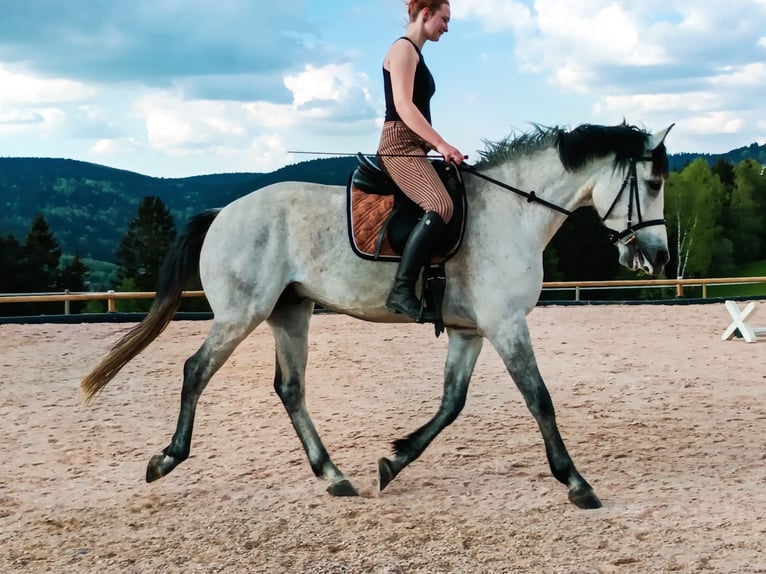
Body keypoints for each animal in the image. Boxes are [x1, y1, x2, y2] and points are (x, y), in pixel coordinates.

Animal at [81, 122, 676, 512]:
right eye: (651, 184)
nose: (660, 257)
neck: (513, 212)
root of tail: (223, 211)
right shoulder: (506, 326)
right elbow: (540, 400)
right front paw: (576, 483)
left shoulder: (470, 332)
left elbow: (452, 404)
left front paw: (394, 461)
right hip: (241, 313)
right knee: (196, 371)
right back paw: (166, 459)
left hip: (289, 312)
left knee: (290, 388)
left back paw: (334, 475)